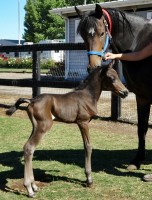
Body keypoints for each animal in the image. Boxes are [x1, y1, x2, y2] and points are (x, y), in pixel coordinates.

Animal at [6, 61, 128, 198]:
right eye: (112, 78)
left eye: (118, 76)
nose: (125, 92)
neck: (87, 96)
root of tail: (31, 100)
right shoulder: (83, 123)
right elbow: (88, 146)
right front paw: (89, 180)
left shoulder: (81, 124)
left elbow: (86, 146)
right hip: (44, 126)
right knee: (29, 147)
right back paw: (29, 189)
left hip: (36, 126)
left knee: (29, 148)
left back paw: (34, 186)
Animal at [75, 3, 152, 171]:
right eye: (82, 35)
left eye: (102, 32)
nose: (93, 66)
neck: (139, 41)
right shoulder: (142, 96)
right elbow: (141, 128)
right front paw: (137, 161)